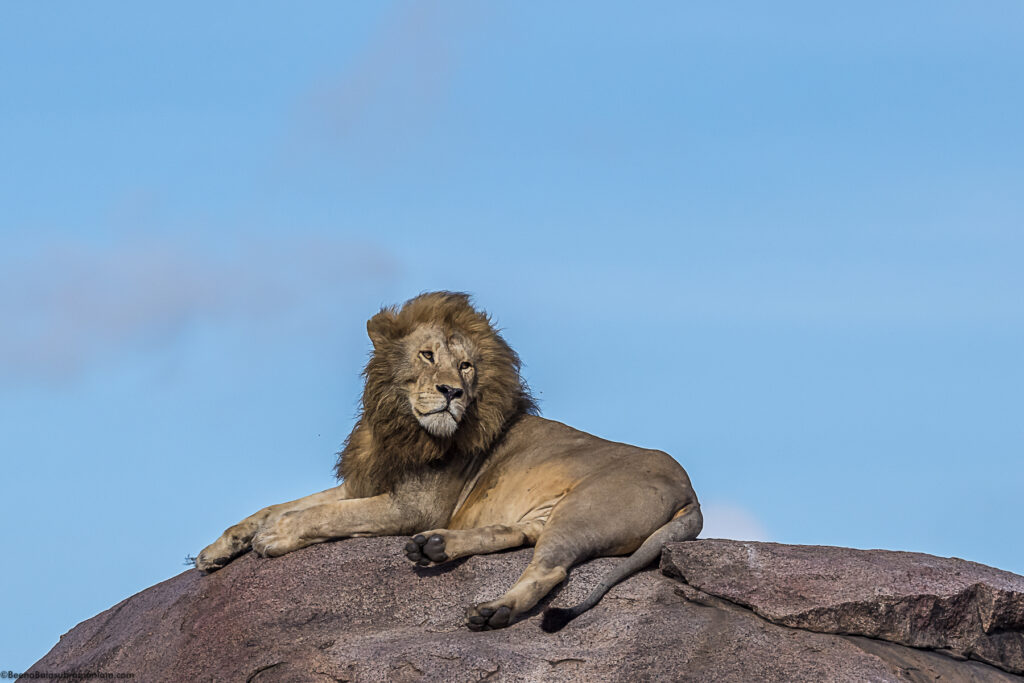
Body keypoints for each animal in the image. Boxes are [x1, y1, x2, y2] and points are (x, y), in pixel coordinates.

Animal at [194, 290, 700, 634]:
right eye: (427, 355)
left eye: (466, 367)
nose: (452, 393)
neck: (399, 422)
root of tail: (690, 491)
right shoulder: (367, 480)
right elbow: (276, 506)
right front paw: (218, 549)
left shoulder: (413, 506)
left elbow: (324, 515)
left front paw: (273, 537)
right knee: (519, 534)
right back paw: (434, 548)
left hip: (583, 512)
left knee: (549, 567)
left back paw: (494, 610)